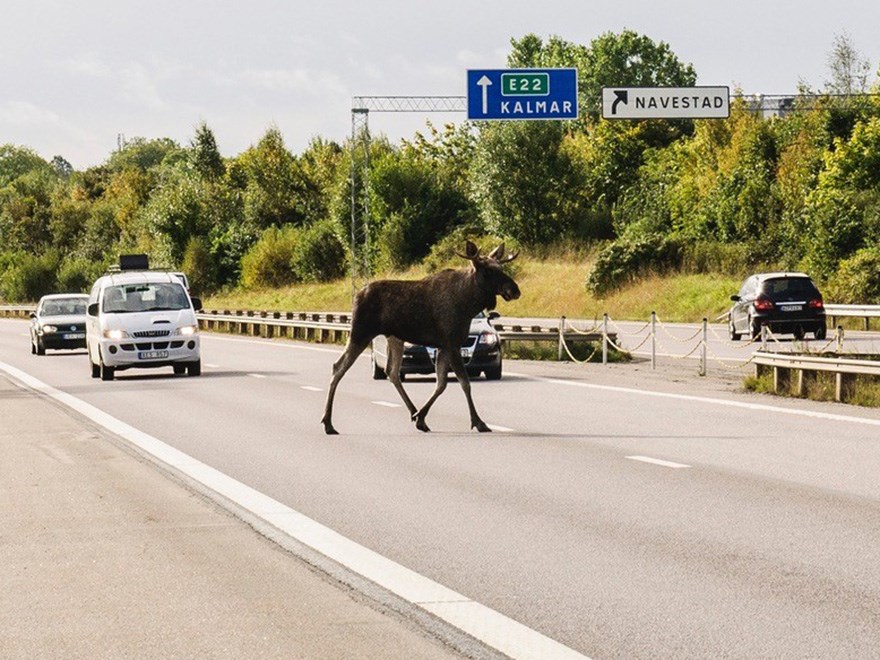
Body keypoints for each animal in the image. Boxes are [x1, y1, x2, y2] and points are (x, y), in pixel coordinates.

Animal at [322, 240, 516, 436]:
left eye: (501, 267)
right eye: (488, 270)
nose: (514, 289)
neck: (468, 304)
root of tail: (357, 296)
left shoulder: (444, 346)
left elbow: (441, 384)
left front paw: (421, 417)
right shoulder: (452, 343)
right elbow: (465, 383)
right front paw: (478, 422)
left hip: (394, 338)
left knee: (392, 372)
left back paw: (412, 411)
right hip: (360, 333)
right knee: (338, 367)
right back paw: (328, 423)